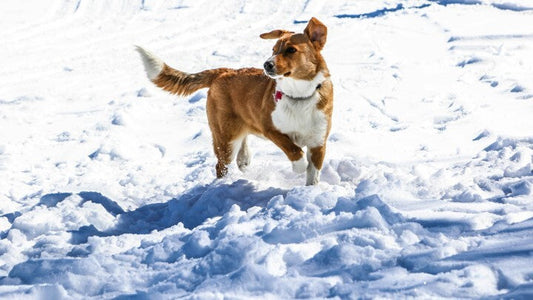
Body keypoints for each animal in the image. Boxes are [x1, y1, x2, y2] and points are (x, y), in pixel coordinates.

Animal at [135, 17, 330, 185]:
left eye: (291, 50)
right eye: (273, 50)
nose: (266, 64)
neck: (299, 95)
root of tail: (223, 71)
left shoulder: (318, 143)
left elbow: (313, 172)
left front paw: (309, 190)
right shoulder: (270, 129)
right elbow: (293, 149)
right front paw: (299, 166)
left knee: (241, 148)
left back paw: (244, 159)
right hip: (225, 137)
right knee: (221, 165)